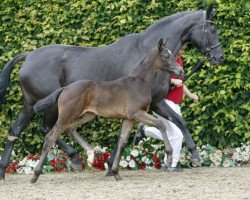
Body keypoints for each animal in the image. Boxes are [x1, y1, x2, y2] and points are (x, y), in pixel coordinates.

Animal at [30, 38, 184, 183]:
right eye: (166, 56)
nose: (181, 71)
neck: (139, 83)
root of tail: (65, 89)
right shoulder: (137, 113)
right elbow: (160, 124)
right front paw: (169, 158)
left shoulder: (129, 118)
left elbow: (122, 142)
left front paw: (115, 172)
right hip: (66, 116)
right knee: (50, 137)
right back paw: (35, 175)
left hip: (88, 115)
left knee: (71, 129)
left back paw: (90, 156)